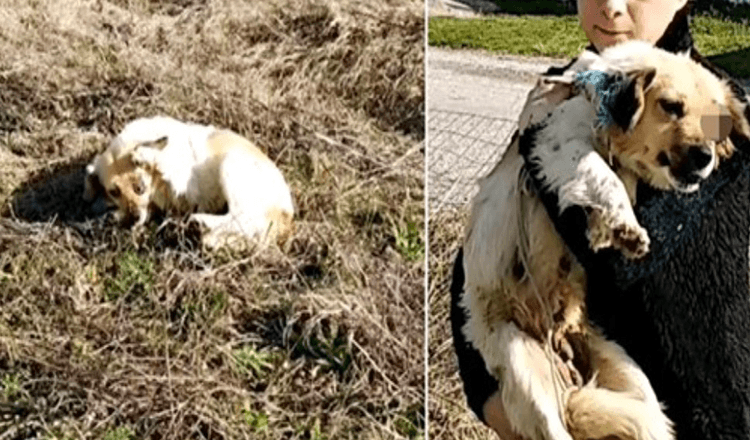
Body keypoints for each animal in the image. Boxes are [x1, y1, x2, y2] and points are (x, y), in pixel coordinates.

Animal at [82, 116, 294, 248]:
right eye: (114, 192)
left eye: (140, 187)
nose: (133, 220)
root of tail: (288, 217)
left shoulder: (182, 178)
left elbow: (156, 157)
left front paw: (143, 154)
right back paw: (209, 237)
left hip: (231, 162)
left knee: (243, 215)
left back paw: (200, 223)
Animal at [462, 41, 748, 440]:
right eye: (671, 106)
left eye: (717, 121)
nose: (705, 157)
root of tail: (561, 342)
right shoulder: (558, 139)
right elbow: (603, 176)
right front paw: (623, 225)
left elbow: (618, 182)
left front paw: (604, 228)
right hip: (524, 367)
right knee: (556, 428)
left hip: (634, 382)